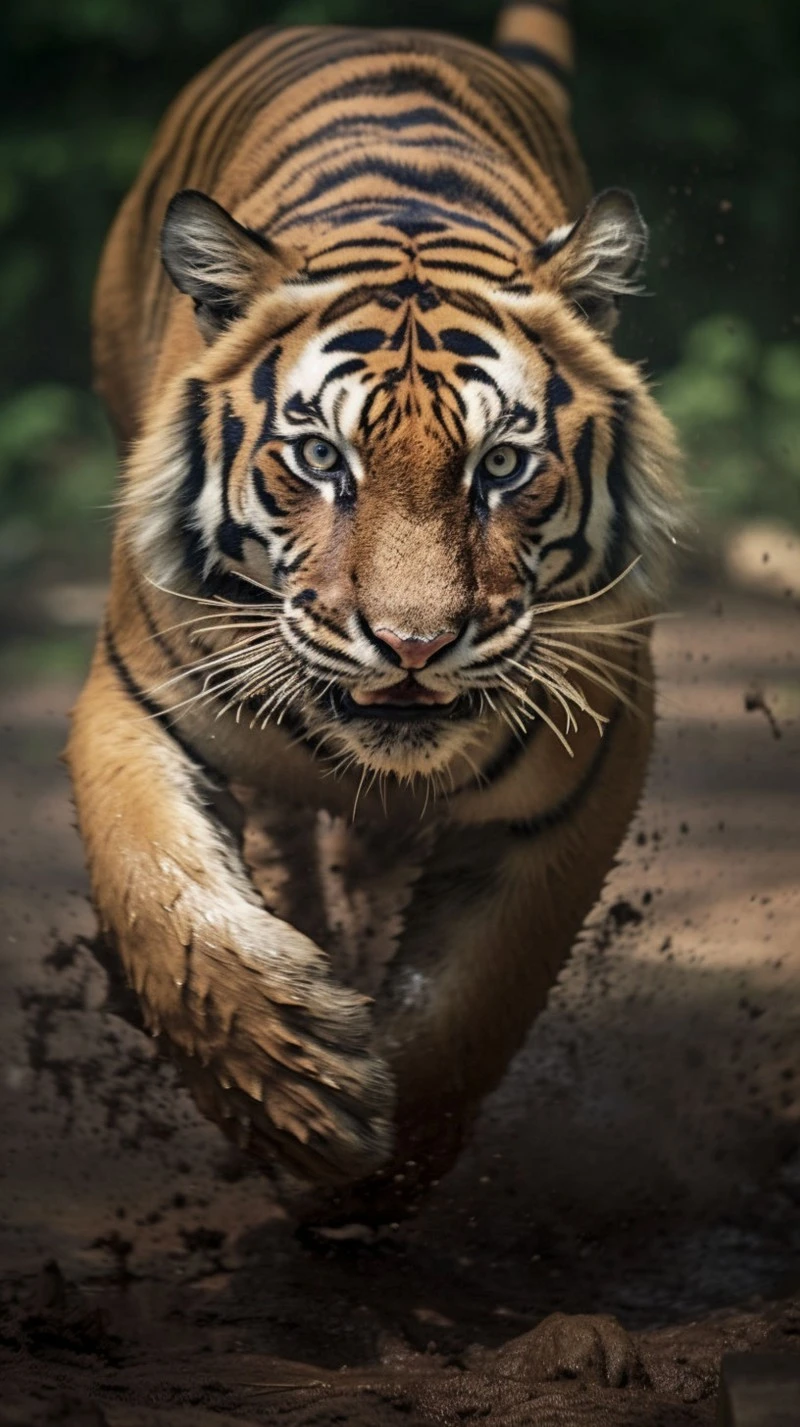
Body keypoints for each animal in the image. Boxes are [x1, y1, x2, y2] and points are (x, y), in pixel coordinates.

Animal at [66, 0, 682, 1223]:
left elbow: (475, 993)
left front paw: (375, 1173)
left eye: (501, 465)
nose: (411, 644)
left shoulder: (584, 757)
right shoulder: (134, 699)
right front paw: (292, 1091)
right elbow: (163, 896)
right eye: (320, 458)